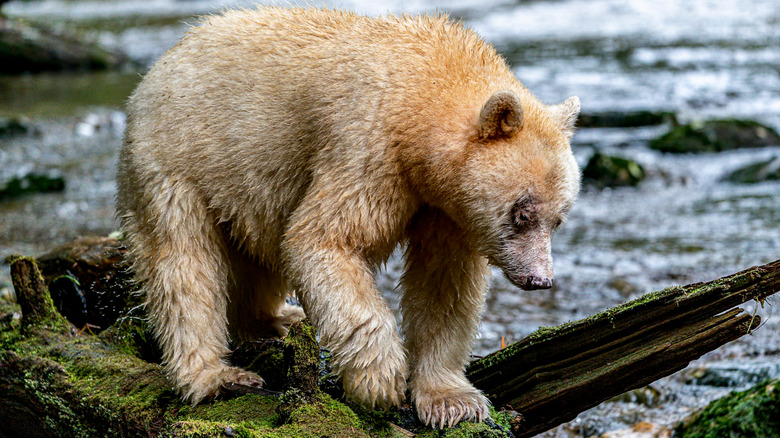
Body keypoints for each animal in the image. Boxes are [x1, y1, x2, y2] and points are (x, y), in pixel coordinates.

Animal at [116, 7, 580, 429]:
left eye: (559, 219)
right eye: (523, 212)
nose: (540, 279)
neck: (422, 88)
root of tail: (160, 63)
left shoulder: (445, 210)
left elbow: (444, 286)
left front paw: (452, 400)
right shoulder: (367, 145)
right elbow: (327, 240)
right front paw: (381, 380)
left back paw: (278, 319)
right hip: (178, 160)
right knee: (184, 265)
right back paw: (216, 375)